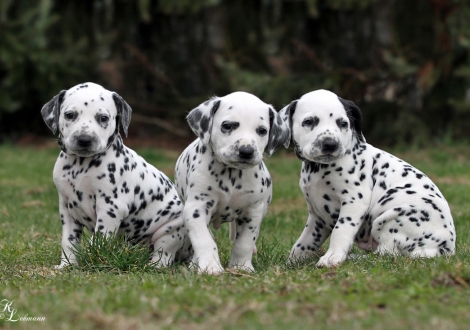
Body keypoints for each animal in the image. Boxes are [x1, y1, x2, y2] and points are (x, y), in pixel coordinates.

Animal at [40, 82, 191, 268]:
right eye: (69, 115)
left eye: (103, 118)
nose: (84, 139)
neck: (80, 166)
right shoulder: (67, 210)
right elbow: (69, 241)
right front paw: (66, 265)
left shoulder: (110, 208)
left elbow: (99, 238)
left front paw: (93, 260)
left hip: (170, 230)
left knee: (164, 254)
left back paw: (153, 265)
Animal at [173, 91, 288, 274]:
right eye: (227, 126)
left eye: (262, 130)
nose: (246, 151)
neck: (231, 175)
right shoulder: (196, 209)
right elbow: (204, 240)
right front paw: (209, 266)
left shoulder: (252, 212)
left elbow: (244, 243)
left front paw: (242, 267)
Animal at [280, 89, 456, 268]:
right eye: (309, 122)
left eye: (343, 123)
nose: (330, 144)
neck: (318, 168)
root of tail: (444, 249)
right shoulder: (318, 216)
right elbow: (303, 242)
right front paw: (293, 261)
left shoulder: (354, 201)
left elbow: (340, 230)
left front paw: (332, 257)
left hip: (391, 213)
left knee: (386, 253)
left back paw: (353, 258)